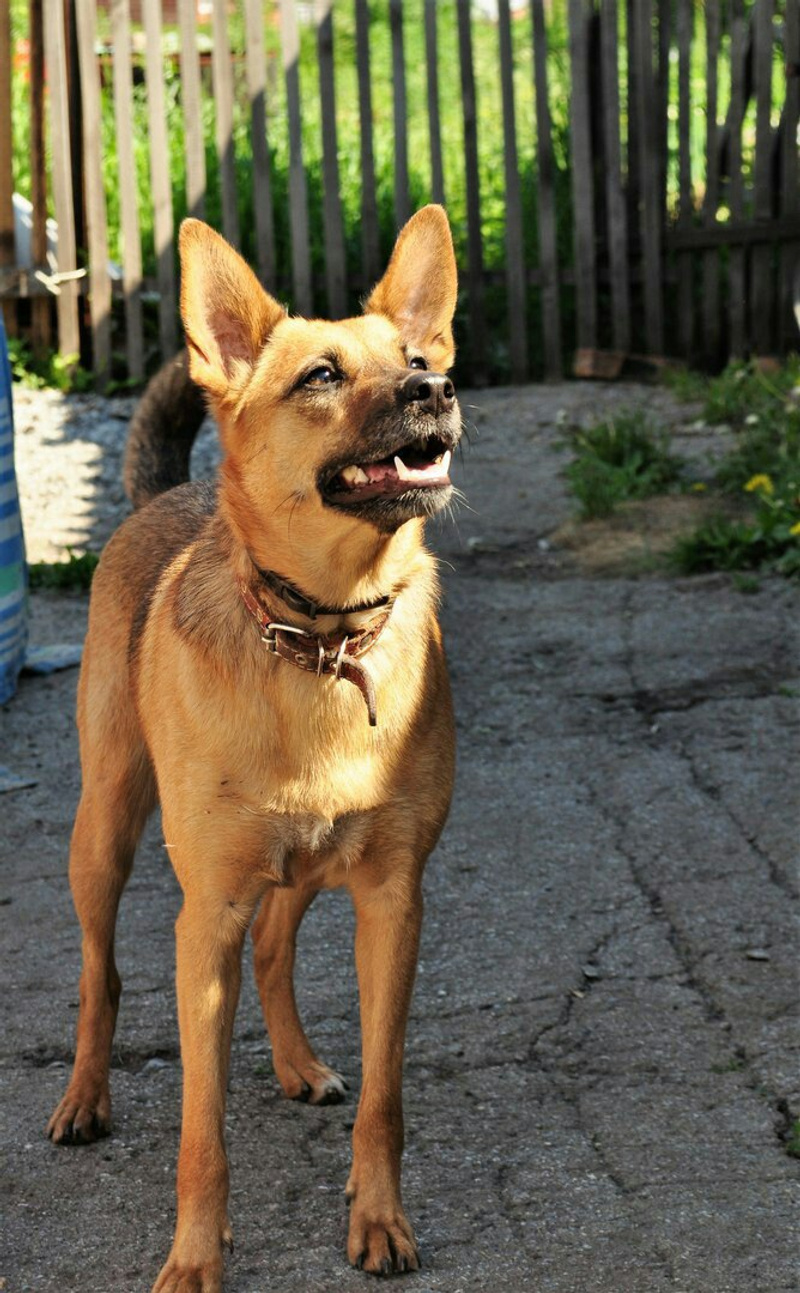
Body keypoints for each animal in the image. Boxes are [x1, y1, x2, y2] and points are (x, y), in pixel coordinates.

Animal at [47, 205, 461, 1290]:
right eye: (320, 375)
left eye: (414, 358)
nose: (434, 392)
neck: (320, 640)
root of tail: (170, 494)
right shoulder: (206, 922)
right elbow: (203, 1129)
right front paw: (195, 1258)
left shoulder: (391, 900)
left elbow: (385, 1100)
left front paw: (377, 1218)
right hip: (104, 830)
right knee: (100, 974)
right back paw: (84, 1096)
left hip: (305, 869)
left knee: (276, 948)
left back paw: (296, 1063)